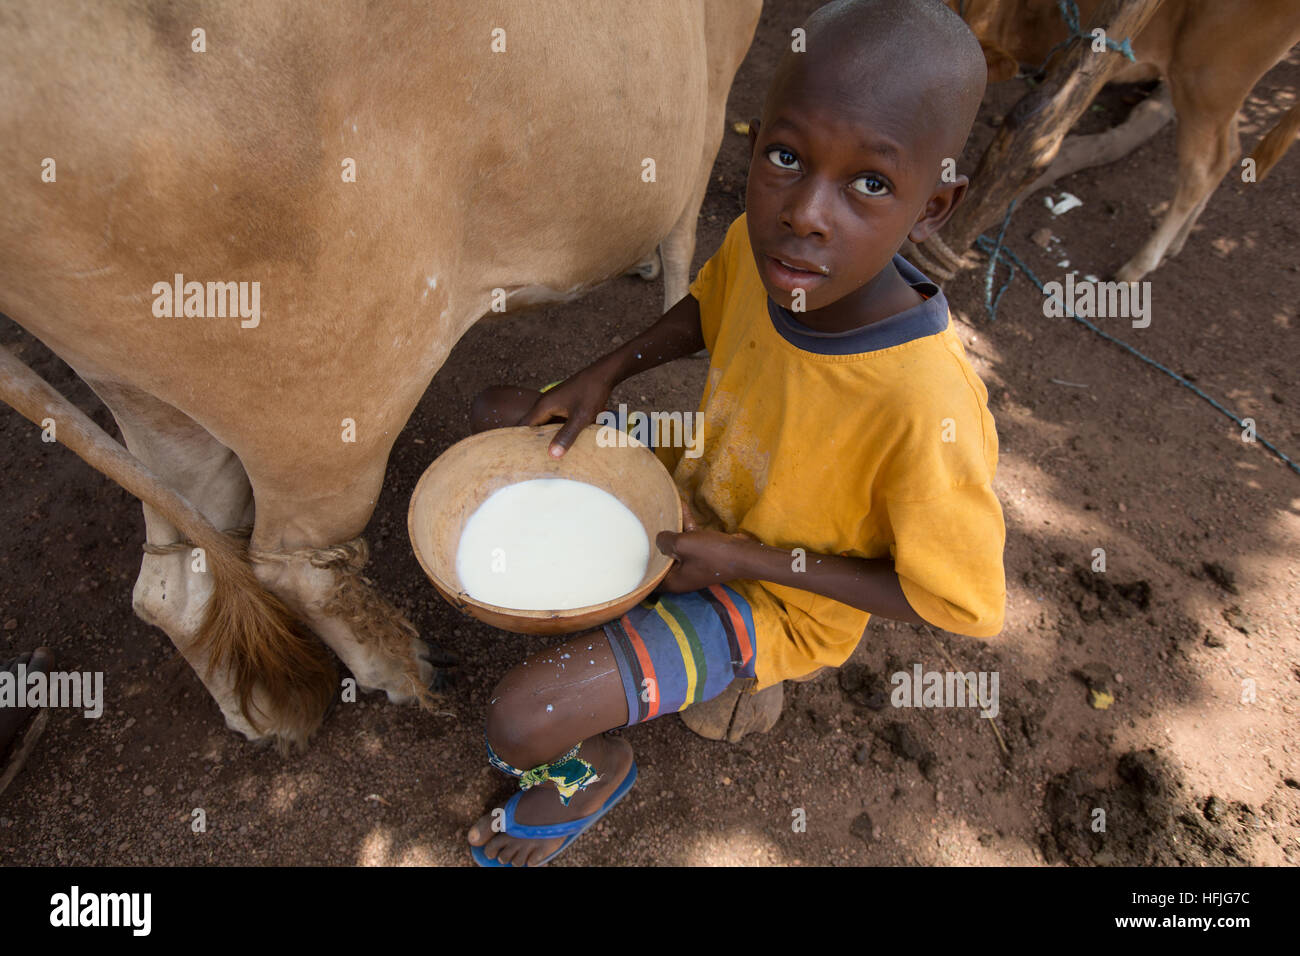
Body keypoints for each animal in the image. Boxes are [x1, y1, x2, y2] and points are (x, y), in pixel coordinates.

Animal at [0, 0, 759, 749]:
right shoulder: (713, 80)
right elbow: (688, 226)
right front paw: (680, 303)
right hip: (335, 397)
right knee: (291, 567)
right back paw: (403, 668)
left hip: (139, 387)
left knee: (170, 583)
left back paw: (267, 714)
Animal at [951, 0, 1294, 282]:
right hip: (1220, 92)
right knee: (1229, 153)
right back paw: (1177, 241)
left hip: (1208, 78)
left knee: (1202, 171)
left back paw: (1139, 265)